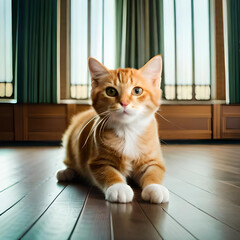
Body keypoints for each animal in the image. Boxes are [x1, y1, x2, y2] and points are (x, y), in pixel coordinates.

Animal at [56, 55, 169, 203]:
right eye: (110, 91)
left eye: (137, 90)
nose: (124, 103)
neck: (128, 130)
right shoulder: (98, 161)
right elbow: (108, 172)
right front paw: (118, 187)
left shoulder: (153, 159)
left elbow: (154, 170)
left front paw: (155, 187)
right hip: (70, 144)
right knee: (69, 162)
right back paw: (66, 172)